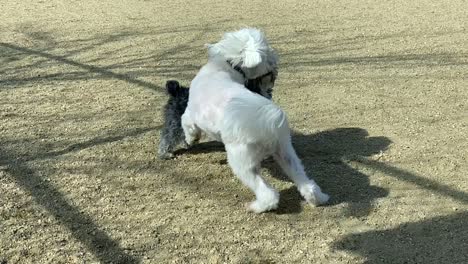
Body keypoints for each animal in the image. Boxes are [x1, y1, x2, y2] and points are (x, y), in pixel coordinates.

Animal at [180, 28, 330, 212]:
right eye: (269, 52)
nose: (276, 61)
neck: (225, 67)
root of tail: (268, 123)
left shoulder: (190, 115)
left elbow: (187, 125)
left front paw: (190, 140)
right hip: (285, 152)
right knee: (305, 181)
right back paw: (318, 198)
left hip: (241, 160)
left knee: (268, 193)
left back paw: (257, 207)